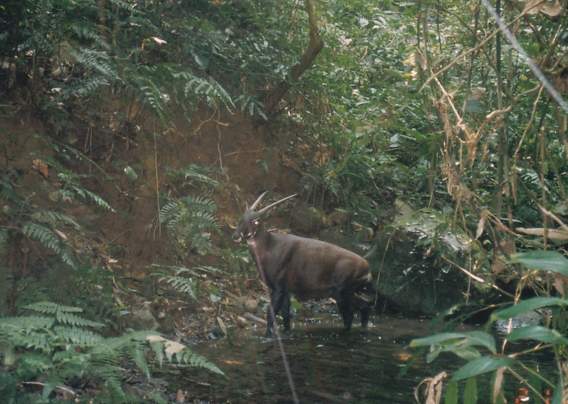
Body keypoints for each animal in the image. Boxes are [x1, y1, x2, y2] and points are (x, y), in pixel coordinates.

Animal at [231, 191, 372, 336]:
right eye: (242, 217)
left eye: (256, 221)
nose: (236, 236)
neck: (268, 247)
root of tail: (368, 270)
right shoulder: (285, 289)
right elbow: (286, 315)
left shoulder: (278, 286)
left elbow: (272, 314)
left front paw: (268, 336)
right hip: (347, 292)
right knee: (365, 305)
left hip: (342, 292)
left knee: (349, 316)